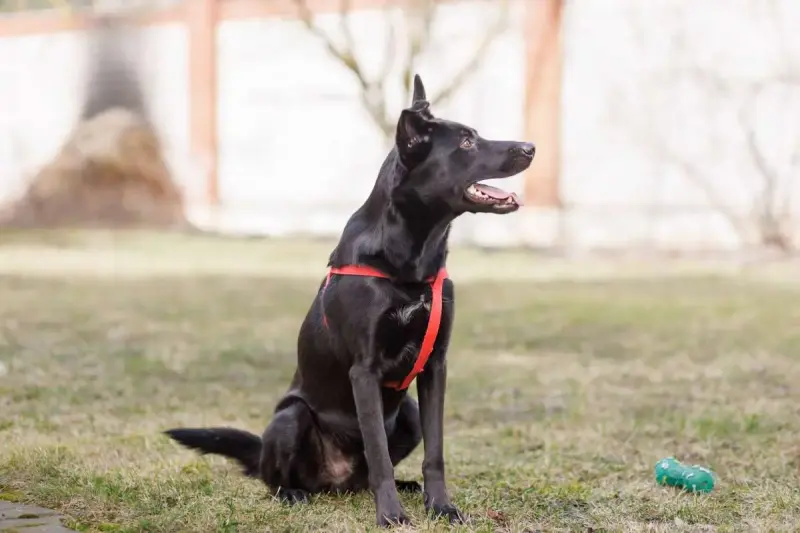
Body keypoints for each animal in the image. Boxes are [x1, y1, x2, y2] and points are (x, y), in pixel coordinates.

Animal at [165, 76, 536, 528]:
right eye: (467, 143)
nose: (530, 148)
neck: (411, 260)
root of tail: (333, 482)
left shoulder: (436, 366)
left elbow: (435, 453)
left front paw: (440, 507)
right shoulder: (364, 370)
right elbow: (378, 452)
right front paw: (391, 516)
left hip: (408, 414)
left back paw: (405, 487)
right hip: (290, 418)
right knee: (275, 479)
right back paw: (293, 493)